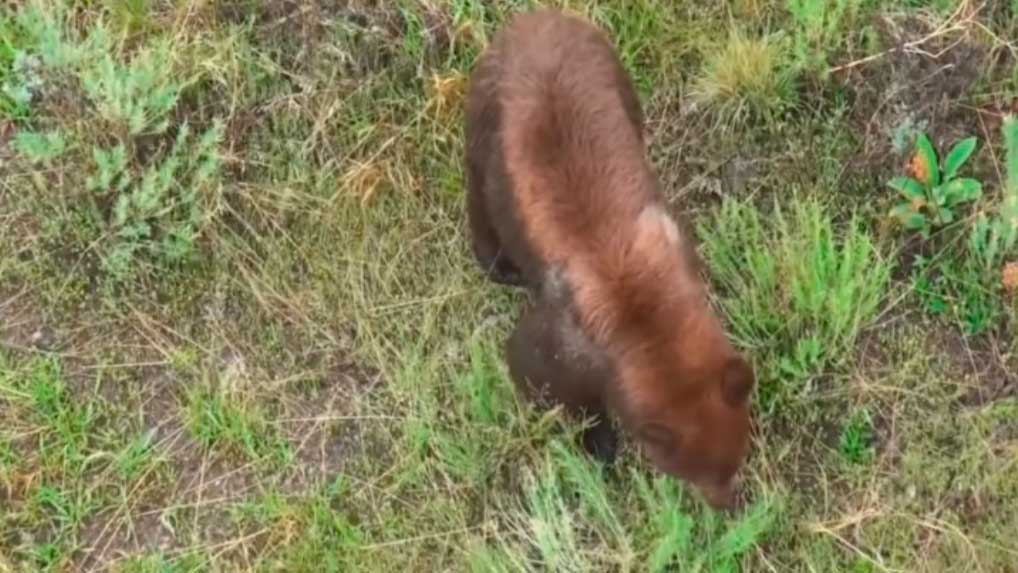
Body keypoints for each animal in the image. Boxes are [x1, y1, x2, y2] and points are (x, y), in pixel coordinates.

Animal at [466, 7, 753, 510]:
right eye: (691, 473)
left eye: (735, 458)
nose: (729, 505)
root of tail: (536, 17)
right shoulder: (569, 333)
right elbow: (534, 369)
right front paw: (598, 442)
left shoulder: (676, 245)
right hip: (485, 116)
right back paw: (498, 263)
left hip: (617, 74)